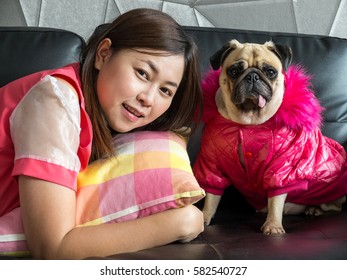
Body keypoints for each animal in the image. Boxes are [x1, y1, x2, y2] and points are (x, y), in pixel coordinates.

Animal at [193, 39, 347, 235]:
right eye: (234, 71)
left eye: (270, 72)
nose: (252, 76)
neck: (250, 121)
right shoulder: (213, 162)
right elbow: (212, 196)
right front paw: (204, 216)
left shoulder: (281, 168)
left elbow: (275, 199)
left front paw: (273, 226)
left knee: (334, 207)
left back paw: (315, 209)